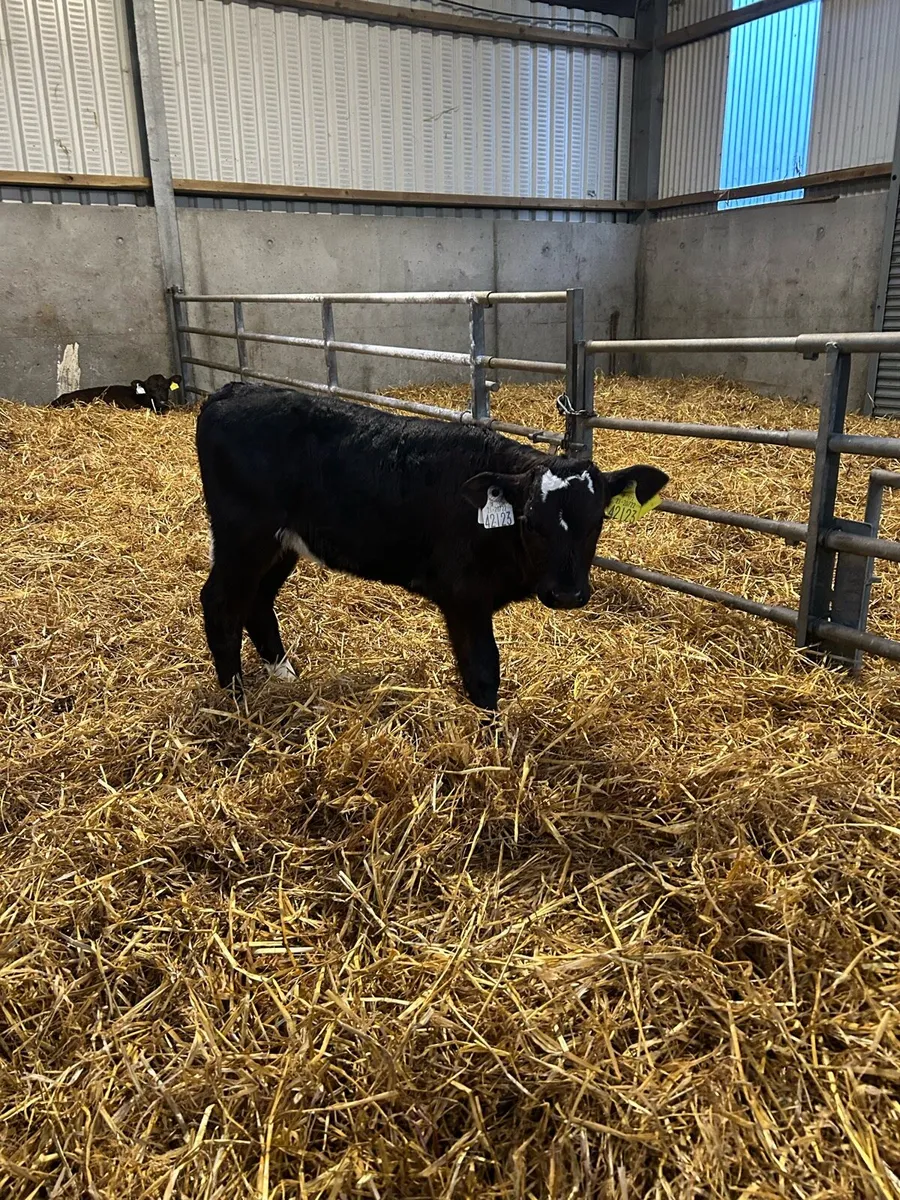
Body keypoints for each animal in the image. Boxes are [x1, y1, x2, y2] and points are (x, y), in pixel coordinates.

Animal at [195, 381, 669, 710]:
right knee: (221, 603)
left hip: (280, 543)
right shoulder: (463, 597)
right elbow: (483, 672)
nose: (567, 594)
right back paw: (236, 699)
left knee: (257, 601)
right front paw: (492, 746)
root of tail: (233, 389)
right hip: (243, 535)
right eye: (531, 522)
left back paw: (283, 675)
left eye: (597, 521)